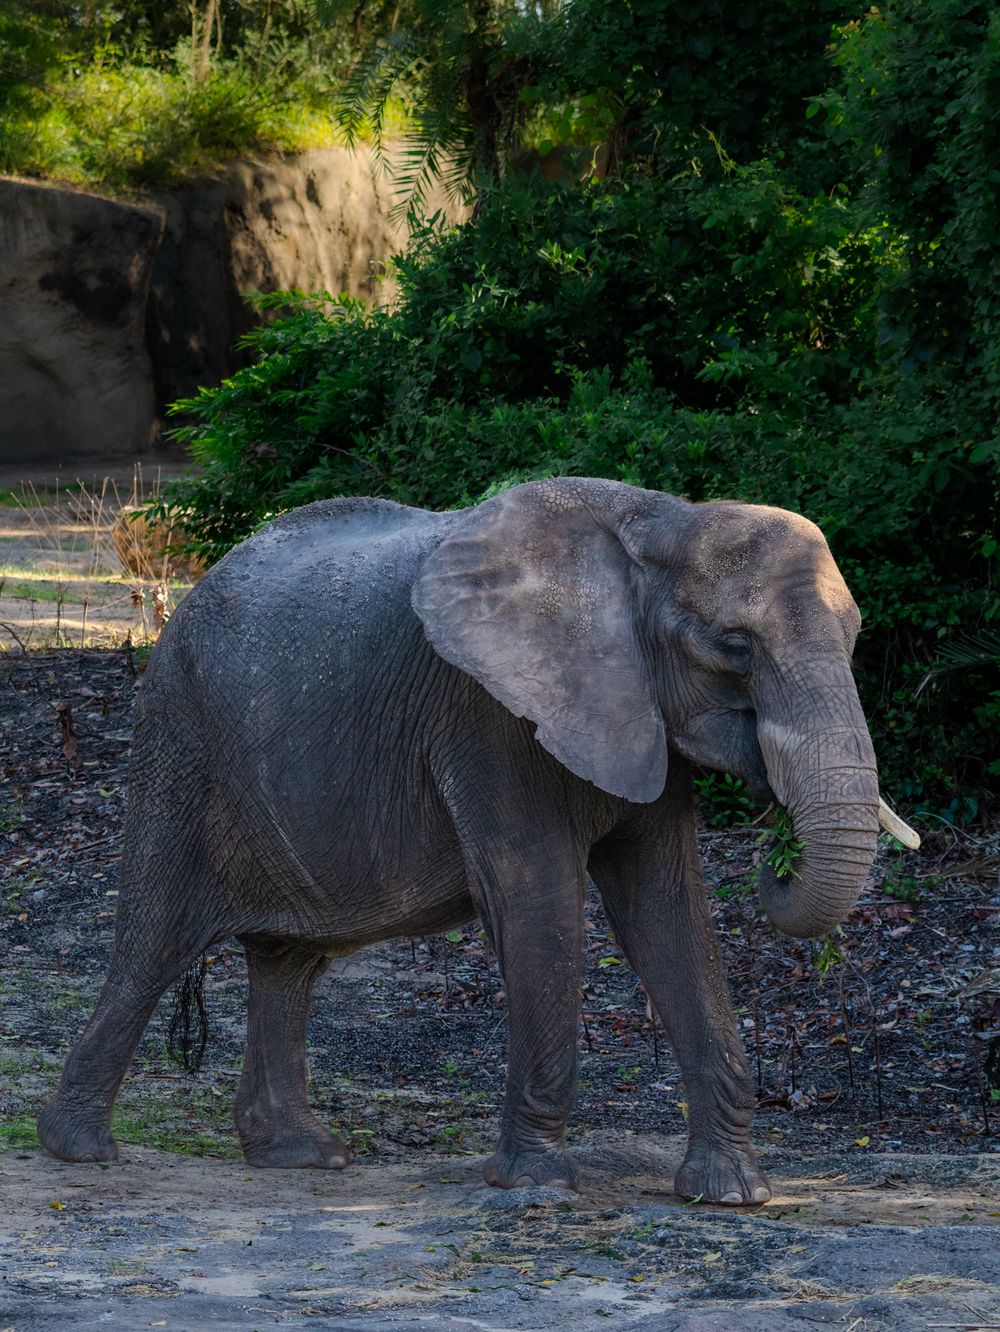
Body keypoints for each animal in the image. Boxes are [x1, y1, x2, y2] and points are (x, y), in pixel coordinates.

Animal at [37, 477, 916, 1203]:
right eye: (734, 646)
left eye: (855, 637)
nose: (778, 854)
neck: (657, 521)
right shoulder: (486, 718)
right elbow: (539, 900)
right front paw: (536, 1188)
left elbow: (667, 910)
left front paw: (730, 1193)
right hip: (179, 740)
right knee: (153, 945)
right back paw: (81, 1151)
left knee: (288, 960)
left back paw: (302, 1157)